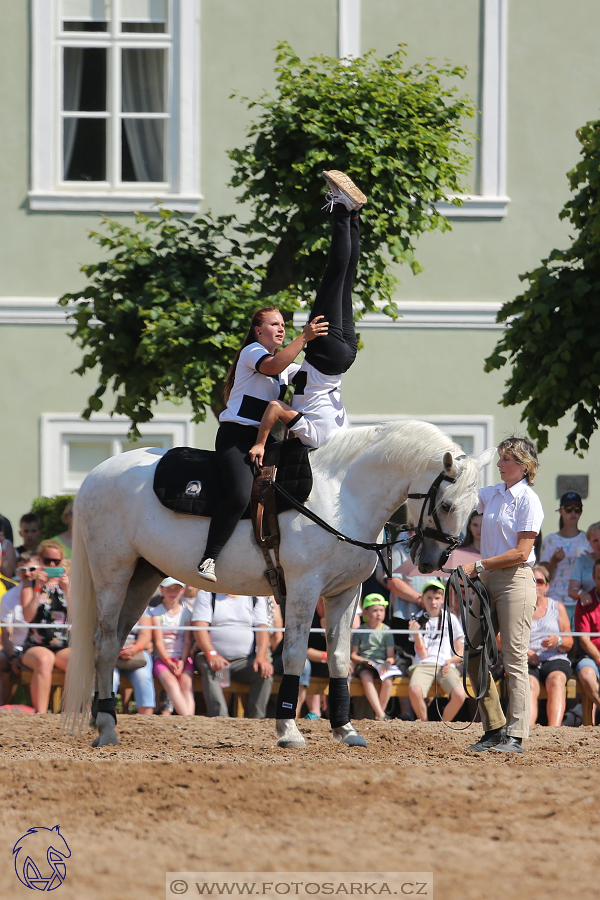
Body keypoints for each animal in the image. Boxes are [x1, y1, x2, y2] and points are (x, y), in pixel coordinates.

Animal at [63, 420, 492, 744]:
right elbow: (295, 656)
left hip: (143, 575)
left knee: (115, 640)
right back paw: (106, 728)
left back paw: (101, 716)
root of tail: (95, 476)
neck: (342, 496)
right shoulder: (304, 589)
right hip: (113, 573)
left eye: (474, 508)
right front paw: (288, 730)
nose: (434, 560)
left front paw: (345, 729)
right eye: (446, 505)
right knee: (105, 642)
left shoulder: (344, 593)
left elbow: (338, 658)